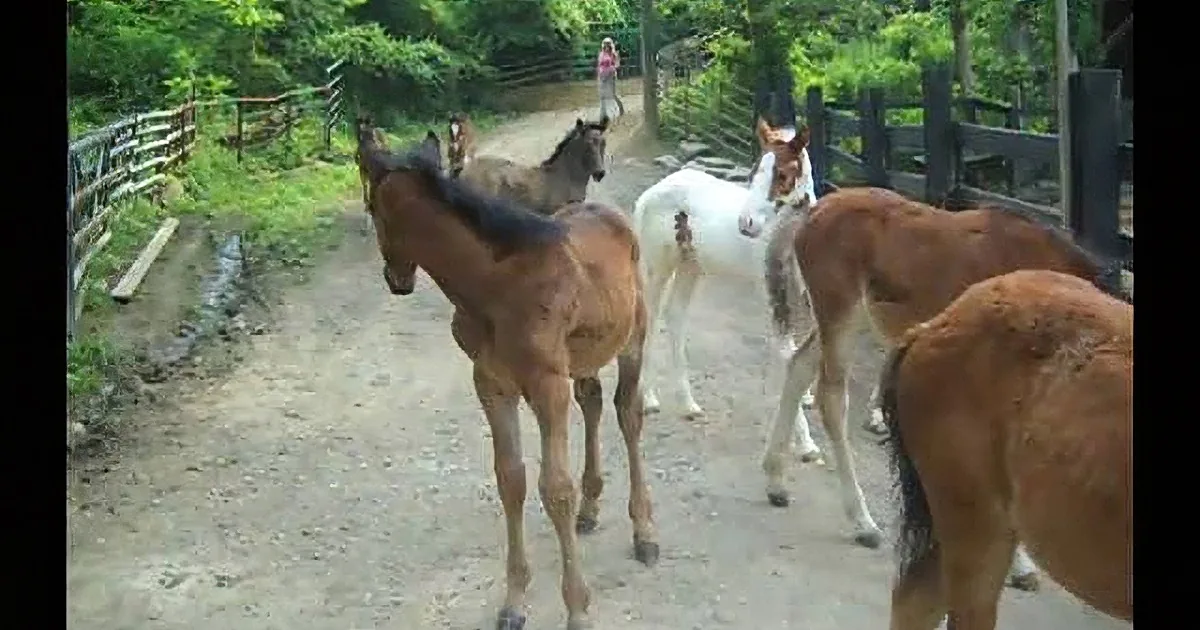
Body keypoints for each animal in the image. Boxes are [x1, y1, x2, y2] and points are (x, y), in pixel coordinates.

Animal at [633, 117, 815, 424]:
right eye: (753, 173)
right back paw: (649, 399)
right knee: (652, 318)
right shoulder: (773, 298)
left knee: (675, 315)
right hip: (659, 266)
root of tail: (650, 193)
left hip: (690, 265)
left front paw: (808, 397)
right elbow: (788, 356)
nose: (746, 224)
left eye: (782, 174)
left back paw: (688, 404)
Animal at [751, 186, 1124, 590]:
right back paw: (863, 521)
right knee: (830, 396)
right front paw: (1021, 565)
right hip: (840, 312)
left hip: (845, 317)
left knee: (798, 365)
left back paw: (776, 482)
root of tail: (811, 214)